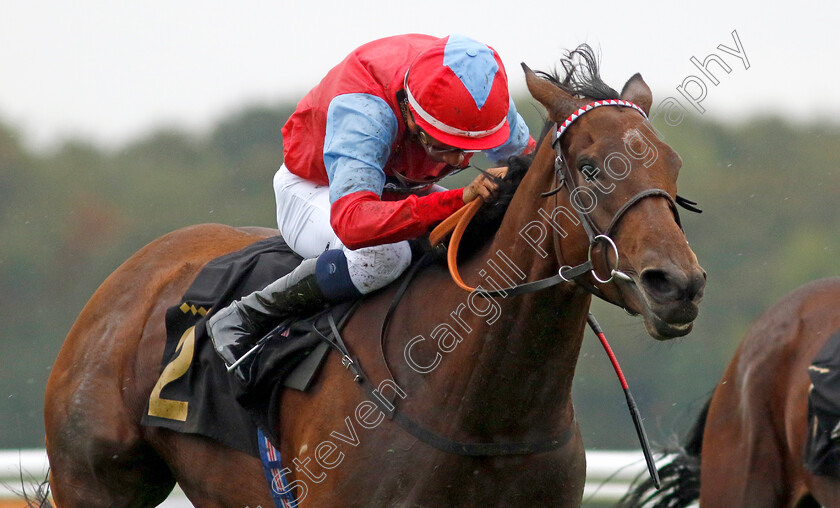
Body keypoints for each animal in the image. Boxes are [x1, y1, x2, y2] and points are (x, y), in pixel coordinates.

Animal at [42, 48, 704, 508]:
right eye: (590, 168)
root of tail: (129, 275)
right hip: (94, 481)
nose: (677, 285)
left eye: (673, 165)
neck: (485, 410)